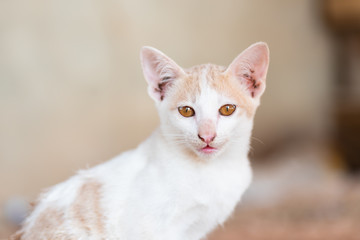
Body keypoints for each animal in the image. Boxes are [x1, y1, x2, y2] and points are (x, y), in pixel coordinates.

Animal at [10, 42, 270, 240]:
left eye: (227, 109)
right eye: (186, 111)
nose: (207, 136)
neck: (211, 170)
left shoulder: (195, 229)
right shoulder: (147, 228)